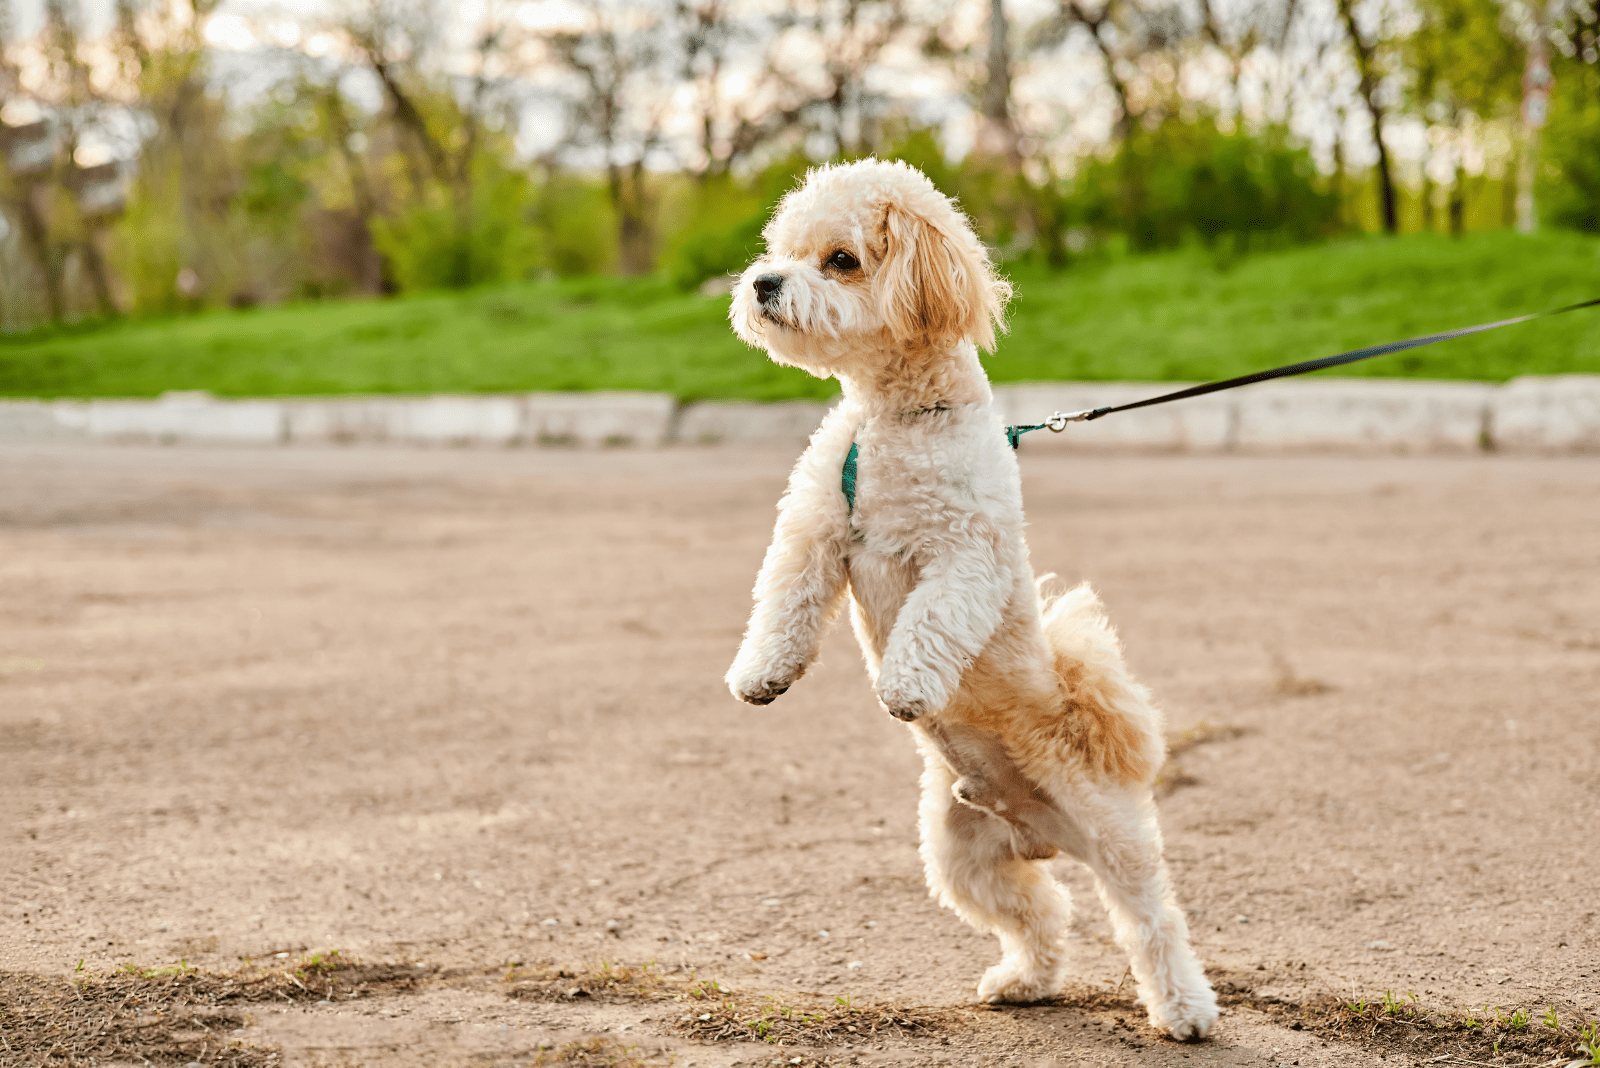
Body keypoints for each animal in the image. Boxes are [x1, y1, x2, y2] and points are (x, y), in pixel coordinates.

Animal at [729, 158, 1222, 1042]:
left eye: (841, 260)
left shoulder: (967, 558)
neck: (893, 421)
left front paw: (904, 686)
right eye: (778, 249)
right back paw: (1025, 980)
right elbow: (783, 601)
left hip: (1116, 838)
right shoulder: (814, 531)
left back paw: (1186, 1010)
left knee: (1151, 922)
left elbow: (929, 623)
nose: (763, 283)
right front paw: (761, 673)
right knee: (1044, 913)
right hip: (963, 859)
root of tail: (1043, 831)